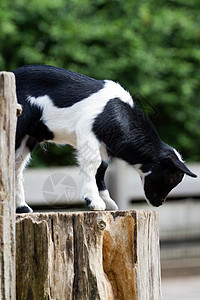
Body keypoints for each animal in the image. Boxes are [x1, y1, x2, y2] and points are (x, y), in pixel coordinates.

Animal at [13, 65, 197, 213]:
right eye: (171, 177)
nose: (158, 203)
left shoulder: (103, 145)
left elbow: (102, 168)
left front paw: (108, 202)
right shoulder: (87, 130)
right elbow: (93, 163)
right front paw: (94, 202)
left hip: (28, 137)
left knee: (17, 165)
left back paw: (22, 208)